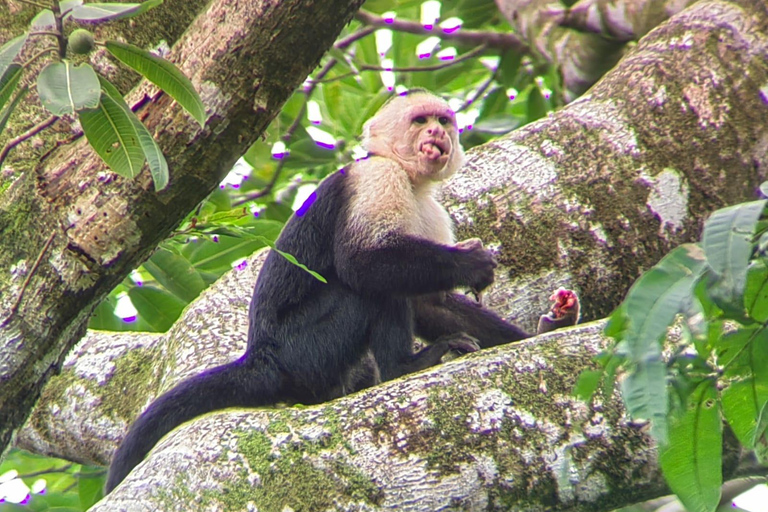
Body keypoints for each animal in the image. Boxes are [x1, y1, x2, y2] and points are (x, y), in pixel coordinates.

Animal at [105, 88, 580, 492]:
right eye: (420, 120)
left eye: (443, 121)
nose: (436, 133)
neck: (409, 178)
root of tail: (260, 355)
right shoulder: (377, 177)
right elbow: (362, 265)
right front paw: (471, 265)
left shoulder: (429, 207)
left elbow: (431, 303)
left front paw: (551, 324)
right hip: (304, 351)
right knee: (364, 290)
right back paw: (404, 366)